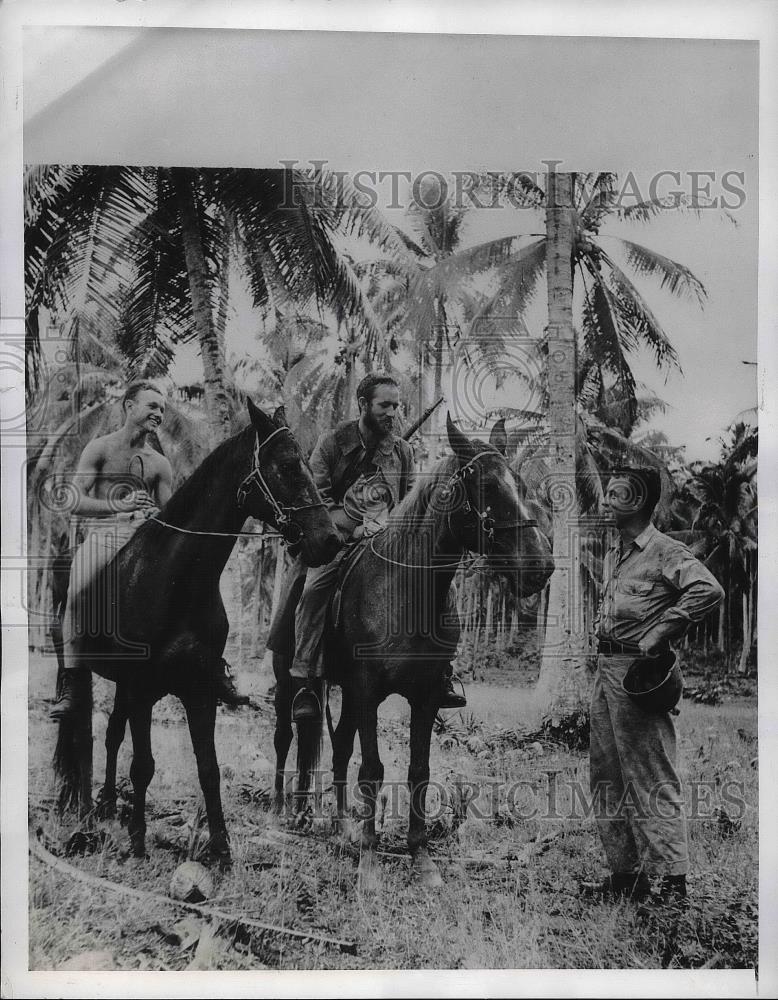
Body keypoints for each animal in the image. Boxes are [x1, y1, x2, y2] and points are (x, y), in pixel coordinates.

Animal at [56, 402, 342, 864]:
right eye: (287, 466)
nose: (329, 540)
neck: (176, 579)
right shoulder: (142, 689)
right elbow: (144, 765)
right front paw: (138, 842)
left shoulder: (199, 688)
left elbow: (208, 768)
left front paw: (221, 848)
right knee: (84, 733)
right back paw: (84, 806)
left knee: (113, 735)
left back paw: (107, 804)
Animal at [272, 414, 552, 884]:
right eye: (486, 487)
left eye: (521, 485)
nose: (540, 567)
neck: (406, 592)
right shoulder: (368, 692)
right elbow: (372, 769)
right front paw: (369, 861)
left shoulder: (424, 697)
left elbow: (418, 770)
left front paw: (420, 857)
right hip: (288, 680)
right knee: (286, 735)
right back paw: (282, 811)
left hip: (347, 695)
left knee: (338, 746)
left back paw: (341, 827)